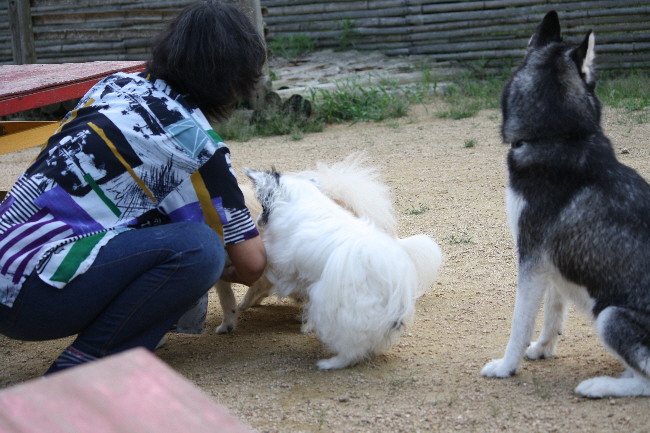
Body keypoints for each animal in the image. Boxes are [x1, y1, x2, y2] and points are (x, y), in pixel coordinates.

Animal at [245, 167, 442, 370]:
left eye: (263, 205)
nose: (258, 220)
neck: (300, 200)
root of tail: (392, 279)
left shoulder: (283, 262)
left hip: (337, 310)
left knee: (351, 347)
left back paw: (330, 363)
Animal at [481, 10, 650, 398]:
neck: (557, 136)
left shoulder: (531, 255)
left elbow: (520, 322)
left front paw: (506, 366)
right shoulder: (550, 259)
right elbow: (553, 311)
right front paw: (543, 348)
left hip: (610, 315)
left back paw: (600, 386)